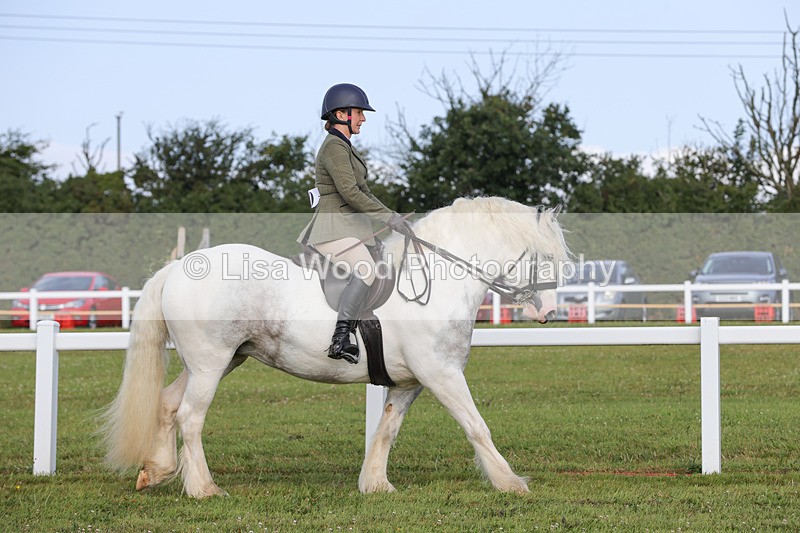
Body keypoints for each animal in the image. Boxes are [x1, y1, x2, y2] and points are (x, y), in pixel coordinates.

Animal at [99, 196, 570, 498]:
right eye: (545, 258)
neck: (436, 280)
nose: (549, 310)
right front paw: (511, 483)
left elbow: (387, 430)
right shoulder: (442, 374)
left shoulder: (410, 382)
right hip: (211, 364)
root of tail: (179, 267)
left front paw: (376, 485)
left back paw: (155, 471)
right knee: (190, 417)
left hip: (217, 362)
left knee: (166, 404)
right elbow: (476, 426)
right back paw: (204, 489)